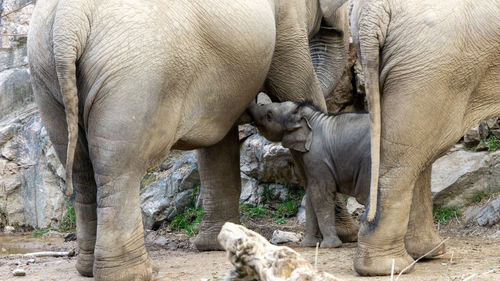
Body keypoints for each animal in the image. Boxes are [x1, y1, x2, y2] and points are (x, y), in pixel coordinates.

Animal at [27, 0, 352, 278]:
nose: (253, 106)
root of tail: (69, 20)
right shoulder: (286, 23)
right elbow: (298, 88)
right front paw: (344, 236)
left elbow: (219, 143)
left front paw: (216, 244)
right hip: (133, 80)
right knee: (119, 170)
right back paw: (136, 273)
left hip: (47, 79)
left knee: (81, 170)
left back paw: (88, 269)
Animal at [248, 98, 370, 247]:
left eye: (269, 115)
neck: (310, 117)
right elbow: (311, 193)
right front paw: (308, 244)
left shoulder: (318, 158)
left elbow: (320, 193)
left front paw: (329, 246)